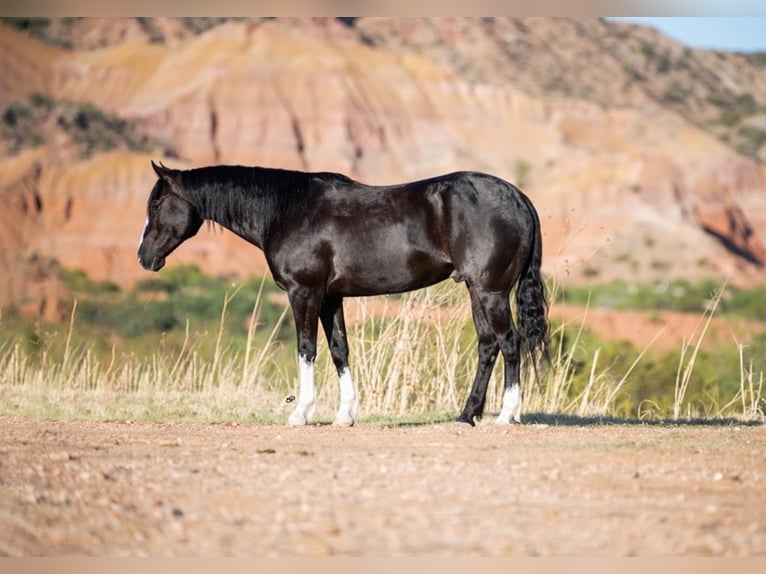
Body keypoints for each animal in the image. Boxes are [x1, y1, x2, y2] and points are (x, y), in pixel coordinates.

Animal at [136, 161, 544, 428]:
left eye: (156, 204)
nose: (144, 257)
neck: (287, 209)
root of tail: (518, 197)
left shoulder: (304, 293)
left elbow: (306, 349)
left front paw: (300, 413)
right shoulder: (331, 298)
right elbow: (339, 350)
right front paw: (345, 415)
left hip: (491, 291)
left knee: (510, 342)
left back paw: (506, 415)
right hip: (477, 291)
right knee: (488, 345)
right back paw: (466, 415)